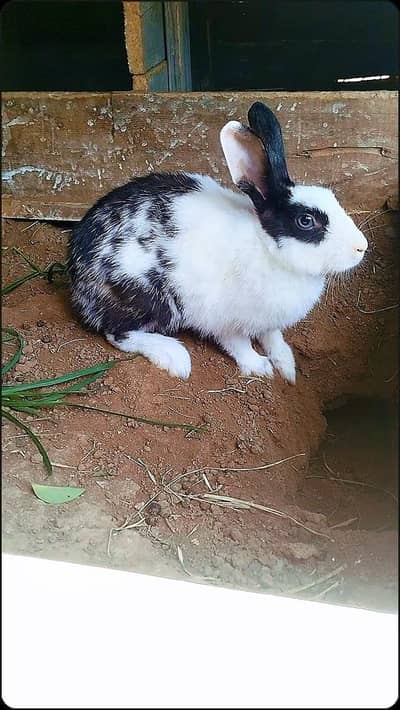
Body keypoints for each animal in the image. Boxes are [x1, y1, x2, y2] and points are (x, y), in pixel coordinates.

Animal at [67, 101, 368, 383]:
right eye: (306, 221)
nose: (361, 247)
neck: (266, 247)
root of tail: (76, 274)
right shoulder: (226, 320)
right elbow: (240, 345)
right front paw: (260, 368)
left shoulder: (268, 322)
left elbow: (273, 337)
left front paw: (287, 367)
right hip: (149, 297)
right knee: (117, 333)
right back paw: (174, 357)